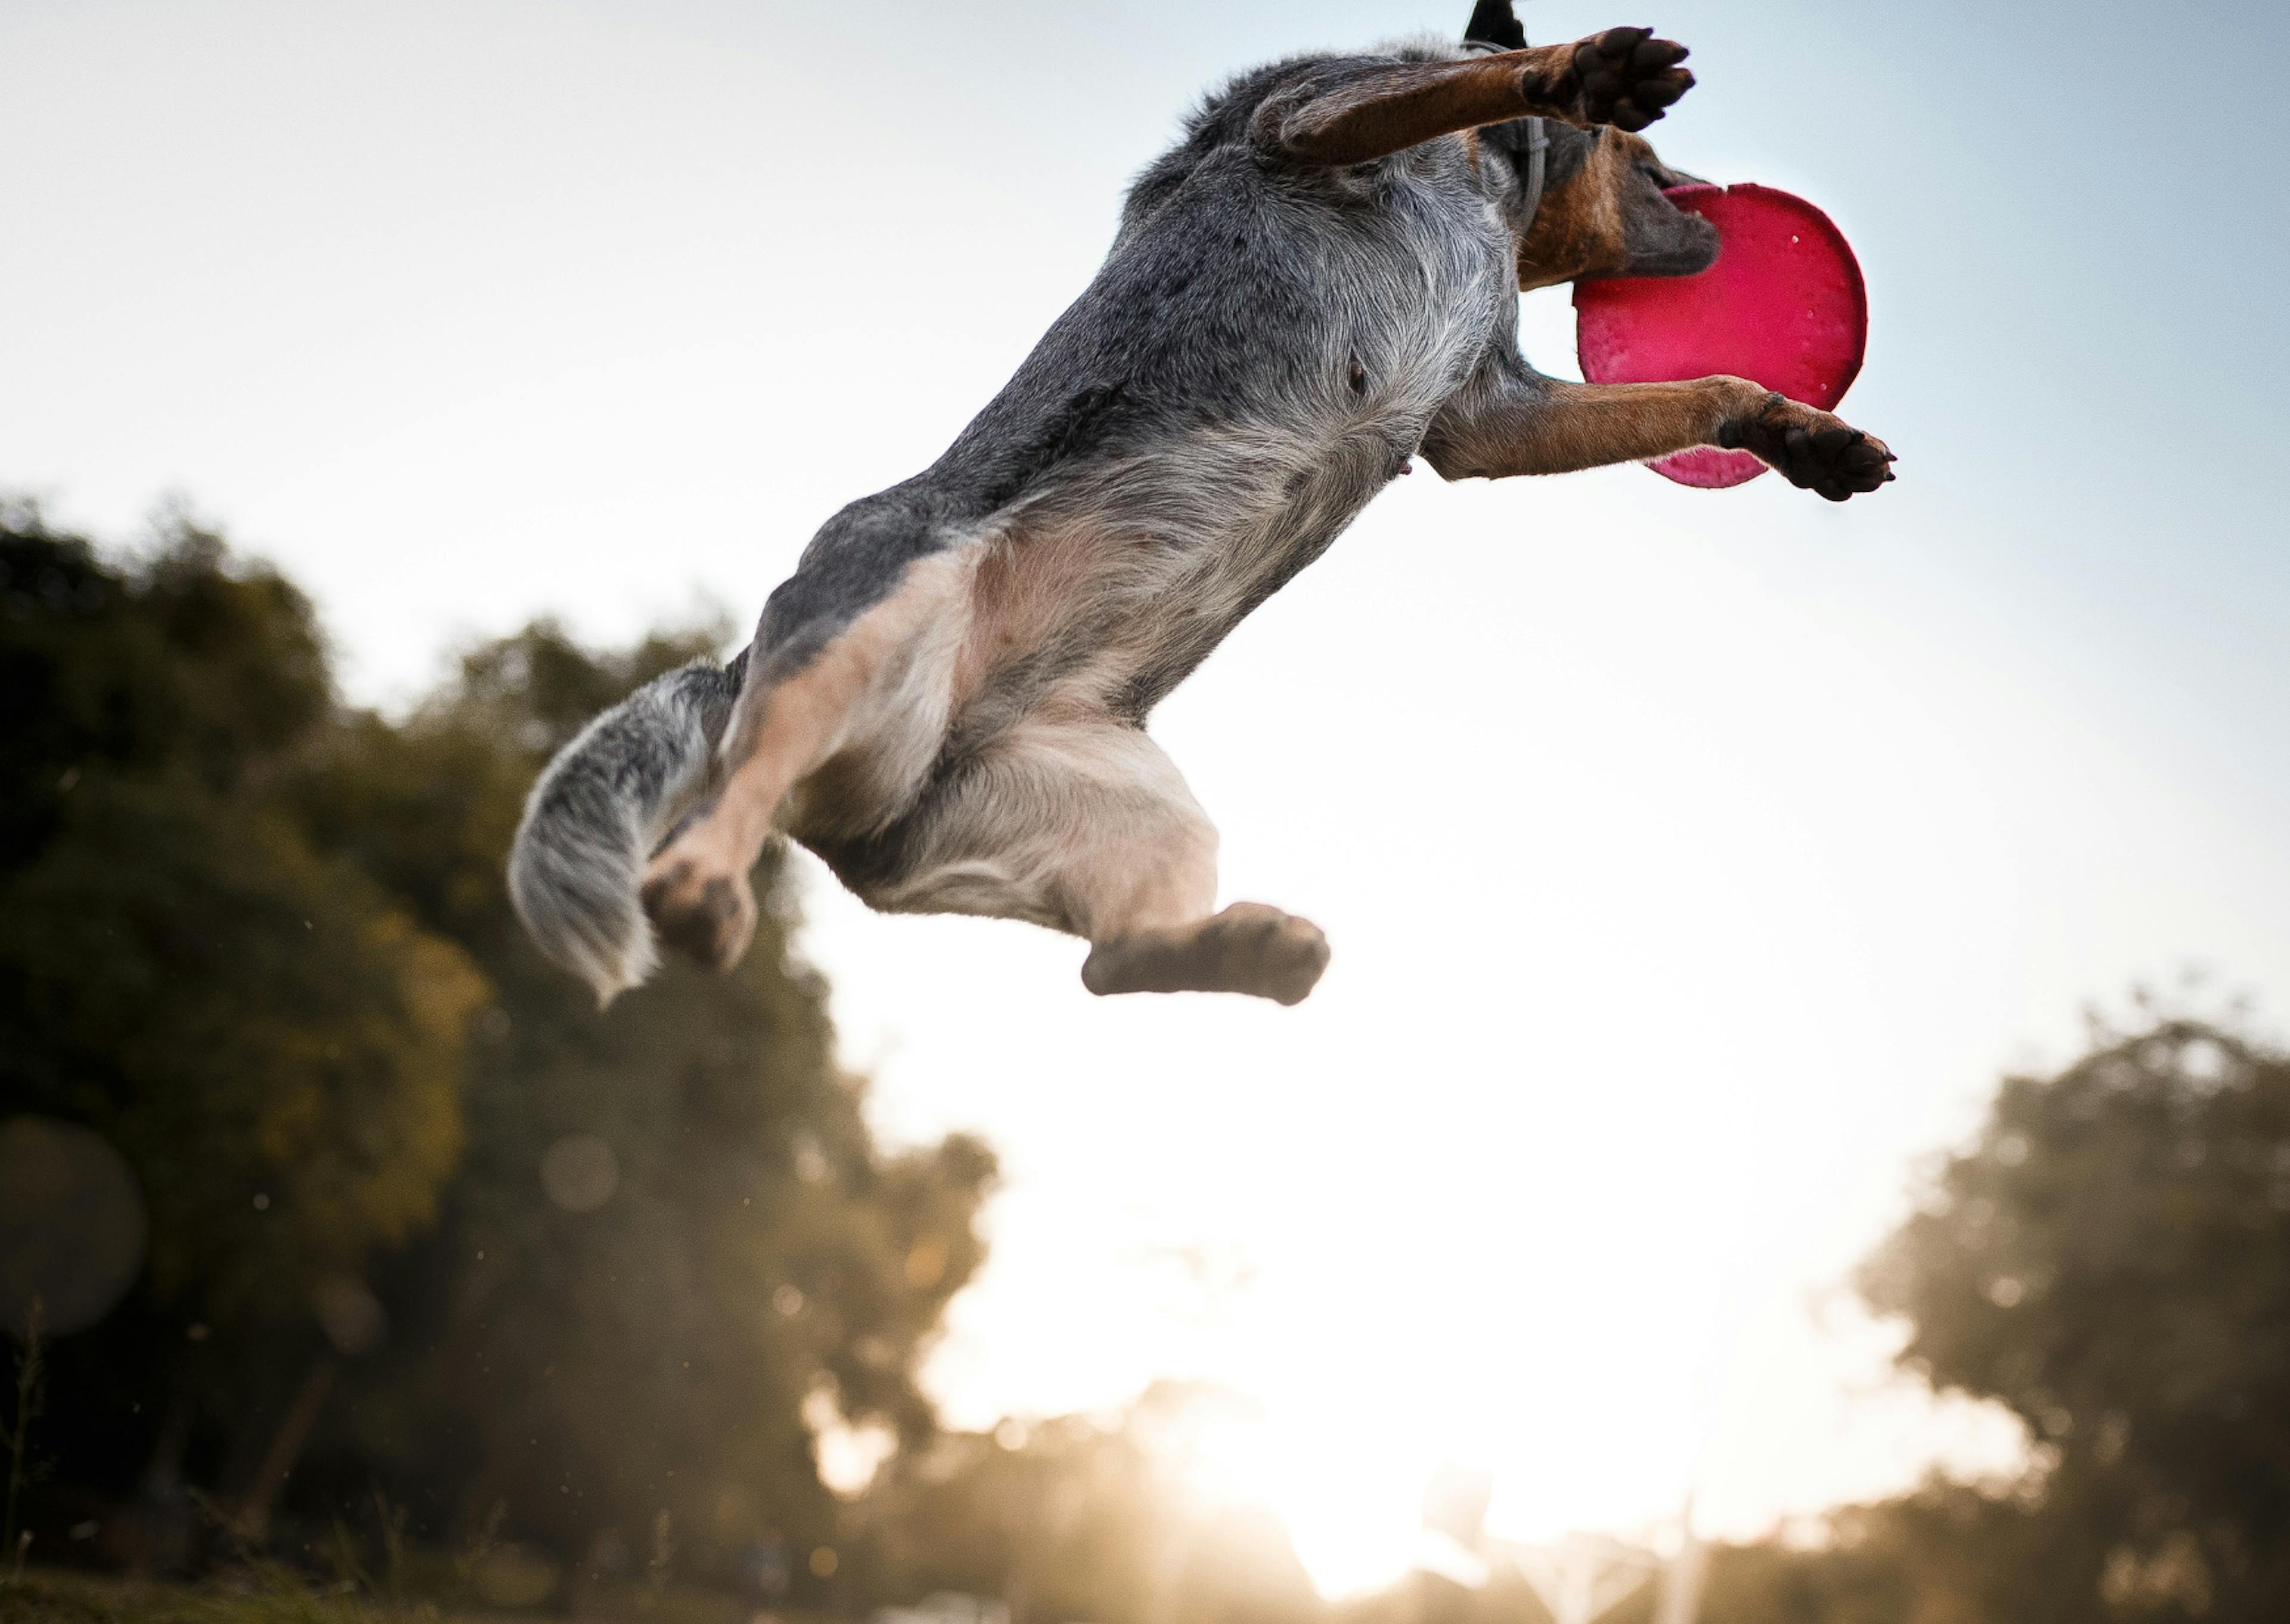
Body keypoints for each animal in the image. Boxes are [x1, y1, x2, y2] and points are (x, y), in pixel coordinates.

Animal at [515, 3, 1896, 999]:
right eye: (1647, 156)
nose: (1719, 210)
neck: (1493, 200)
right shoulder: (1314, 117)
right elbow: (1469, 76)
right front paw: (1581, 69)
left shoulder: (1490, 416)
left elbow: (1708, 385)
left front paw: (1800, 432)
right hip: (868, 617)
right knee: (738, 791)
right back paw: (702, 884)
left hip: (1142, 818)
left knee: (1108, 962)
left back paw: (1248, 952)